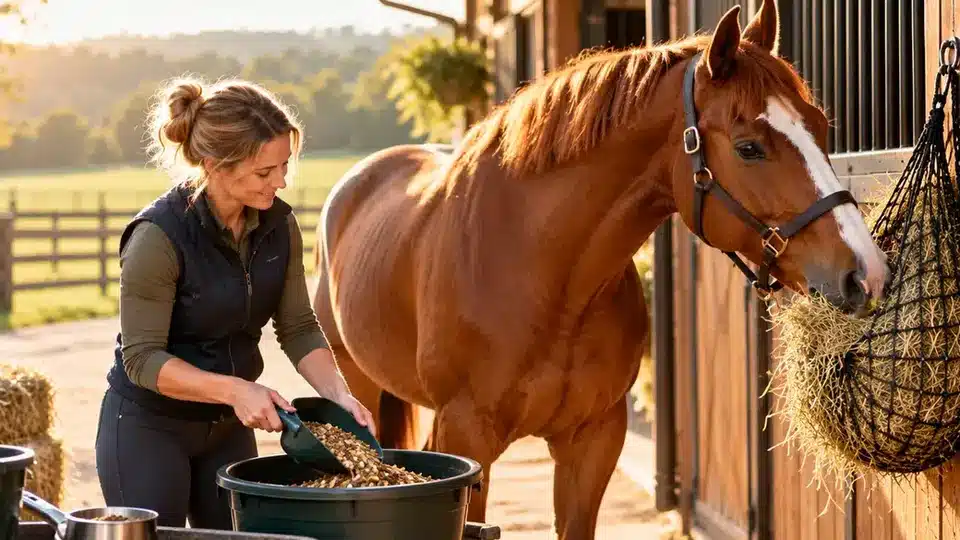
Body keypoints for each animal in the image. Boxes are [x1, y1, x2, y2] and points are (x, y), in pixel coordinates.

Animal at [309, 2, 890, 538]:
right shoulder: (468, 437)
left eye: (820, 127)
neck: (543, 274)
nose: (866, 273)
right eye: (750, 148)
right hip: (357, 386)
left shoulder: (594, 440)